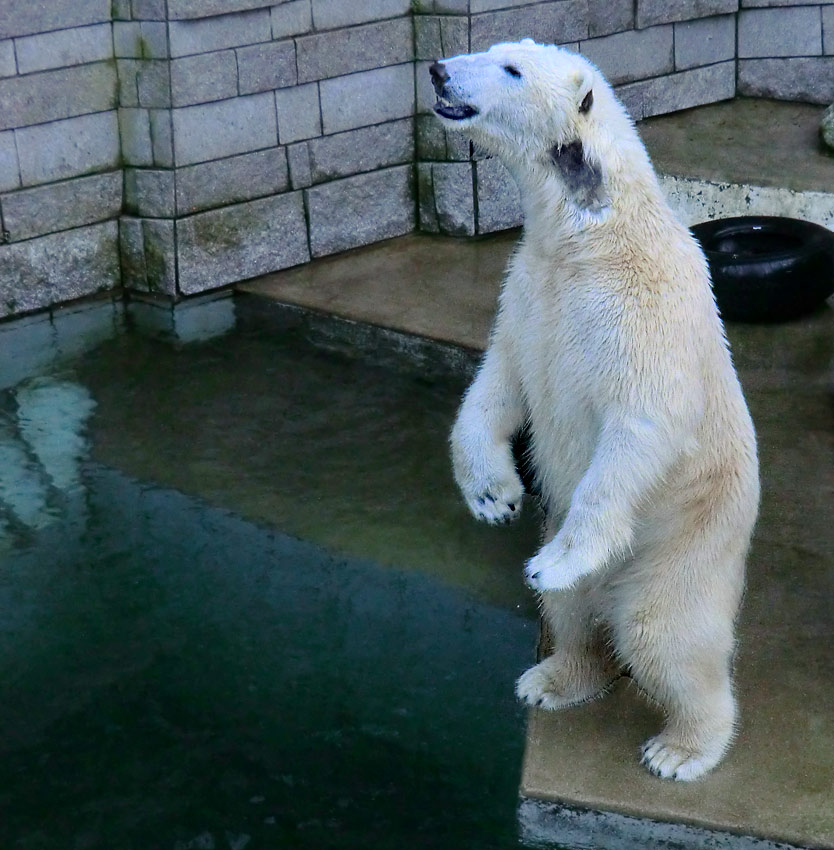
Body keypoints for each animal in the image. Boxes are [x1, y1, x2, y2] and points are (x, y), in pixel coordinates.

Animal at [432, 43, 756, 780]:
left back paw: (682, 747)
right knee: (574, 613)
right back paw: (556, 677)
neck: (589, 234)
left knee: (662, 629)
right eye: (491, 51)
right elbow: (500, 379)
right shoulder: (528, 289)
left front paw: (556, 560)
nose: (437, 71)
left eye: (512, 69)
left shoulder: (644, 308)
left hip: (688, 535)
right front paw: (493, 495)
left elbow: (643, 425)